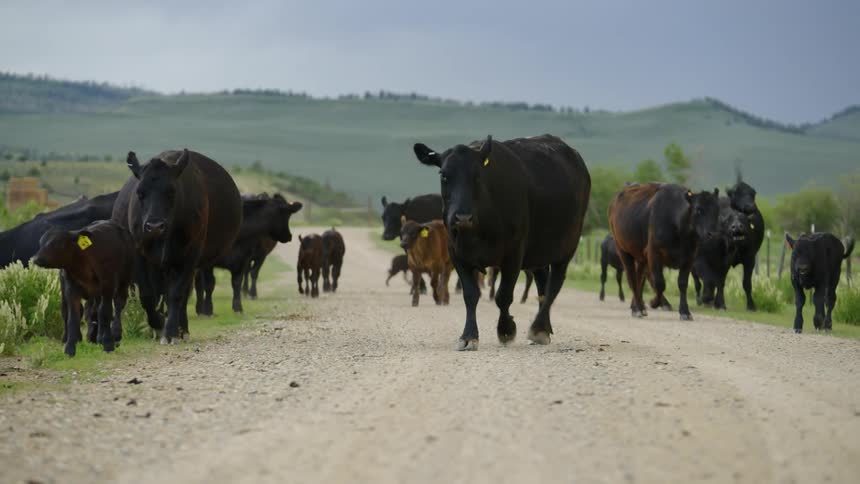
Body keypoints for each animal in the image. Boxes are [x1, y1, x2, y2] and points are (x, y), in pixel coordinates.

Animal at [32, 220, 134, 357]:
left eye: (58, 243)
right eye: (41, 242)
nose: (36, 259)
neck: (83, 262)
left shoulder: (108, 285)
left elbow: (106, 312)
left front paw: (108, 343)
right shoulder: (71, 289)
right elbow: (73, 317)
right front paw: (70, 347)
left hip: (123, 281)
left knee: (117, 305)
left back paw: (115, 334)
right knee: (89, 310)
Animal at [112, 149, 242, 344]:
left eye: (171, 192)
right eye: (140, 193)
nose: (154, 226)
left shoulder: (189, 255)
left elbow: (176, 294)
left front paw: (170, 332)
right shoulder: (140, 255)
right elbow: (148, 295)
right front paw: (158, 324)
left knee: (179, 295)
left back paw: (182, 330)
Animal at [413, 134, 590, 350]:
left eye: (478, 176)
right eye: (444, 175)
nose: (462, 218)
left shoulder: (514, 254)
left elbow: (503, 296)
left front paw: (506, 330)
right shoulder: (457, 254)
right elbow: (470, 295)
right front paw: (468, 336)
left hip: (567, 246)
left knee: (554, 286)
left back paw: (538, 328)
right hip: (538, 253)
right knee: (543, 285)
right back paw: (544, 328)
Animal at [609, 183, 720, 320]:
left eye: (717, 210)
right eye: (698, 209)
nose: (713, 234)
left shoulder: (690, 258)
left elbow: (682, 283)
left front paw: (685, 311)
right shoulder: (654, 254)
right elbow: (659, 283)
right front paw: (654, 302)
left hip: (641, 258)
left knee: (639, 279)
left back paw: (639, 306)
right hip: (623, 251)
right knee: (633, 279)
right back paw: (637, 309)